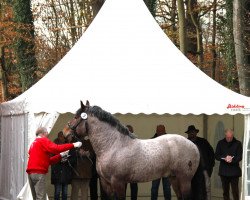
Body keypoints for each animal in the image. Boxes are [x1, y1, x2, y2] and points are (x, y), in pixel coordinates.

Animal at [63, 101, 206, 199]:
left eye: (76, 117)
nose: (65, 133)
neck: (113, 146)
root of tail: (193, 145)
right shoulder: (106, 183)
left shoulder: (118, 182)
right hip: (174, 178)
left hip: (184, 179)